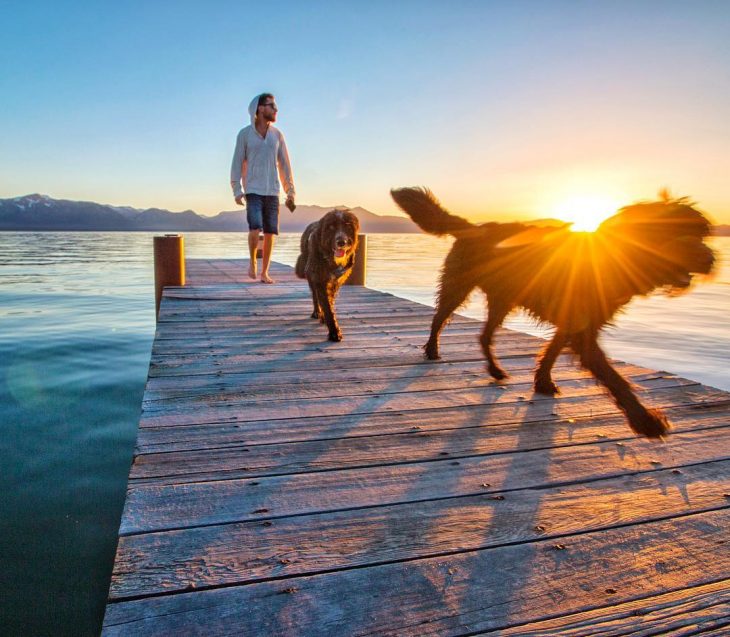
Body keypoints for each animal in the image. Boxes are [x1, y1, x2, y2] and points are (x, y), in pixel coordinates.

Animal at [294, 209, 360, 340]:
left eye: (348, 225)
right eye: (331, 227)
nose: (341, 242)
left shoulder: (336, 281)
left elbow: (330, 300)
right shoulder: (319, 279)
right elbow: (326, 304)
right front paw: (334, 332)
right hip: (311, 276)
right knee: (314, 296)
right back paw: (317, 312)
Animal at [390, 186, 712, 440]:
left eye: (700, 235)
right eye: (677, 233)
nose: (711, 259)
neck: (615, 256)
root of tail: (475, 226)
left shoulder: (576, 322)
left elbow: (553, 351)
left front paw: (543, 382)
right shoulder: (583, 330)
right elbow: (614, 377)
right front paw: (645, 421)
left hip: (503, 298)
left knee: (484, 335)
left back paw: (495, 370)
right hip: (459, 286)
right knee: (439, 318)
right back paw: (432, 350)